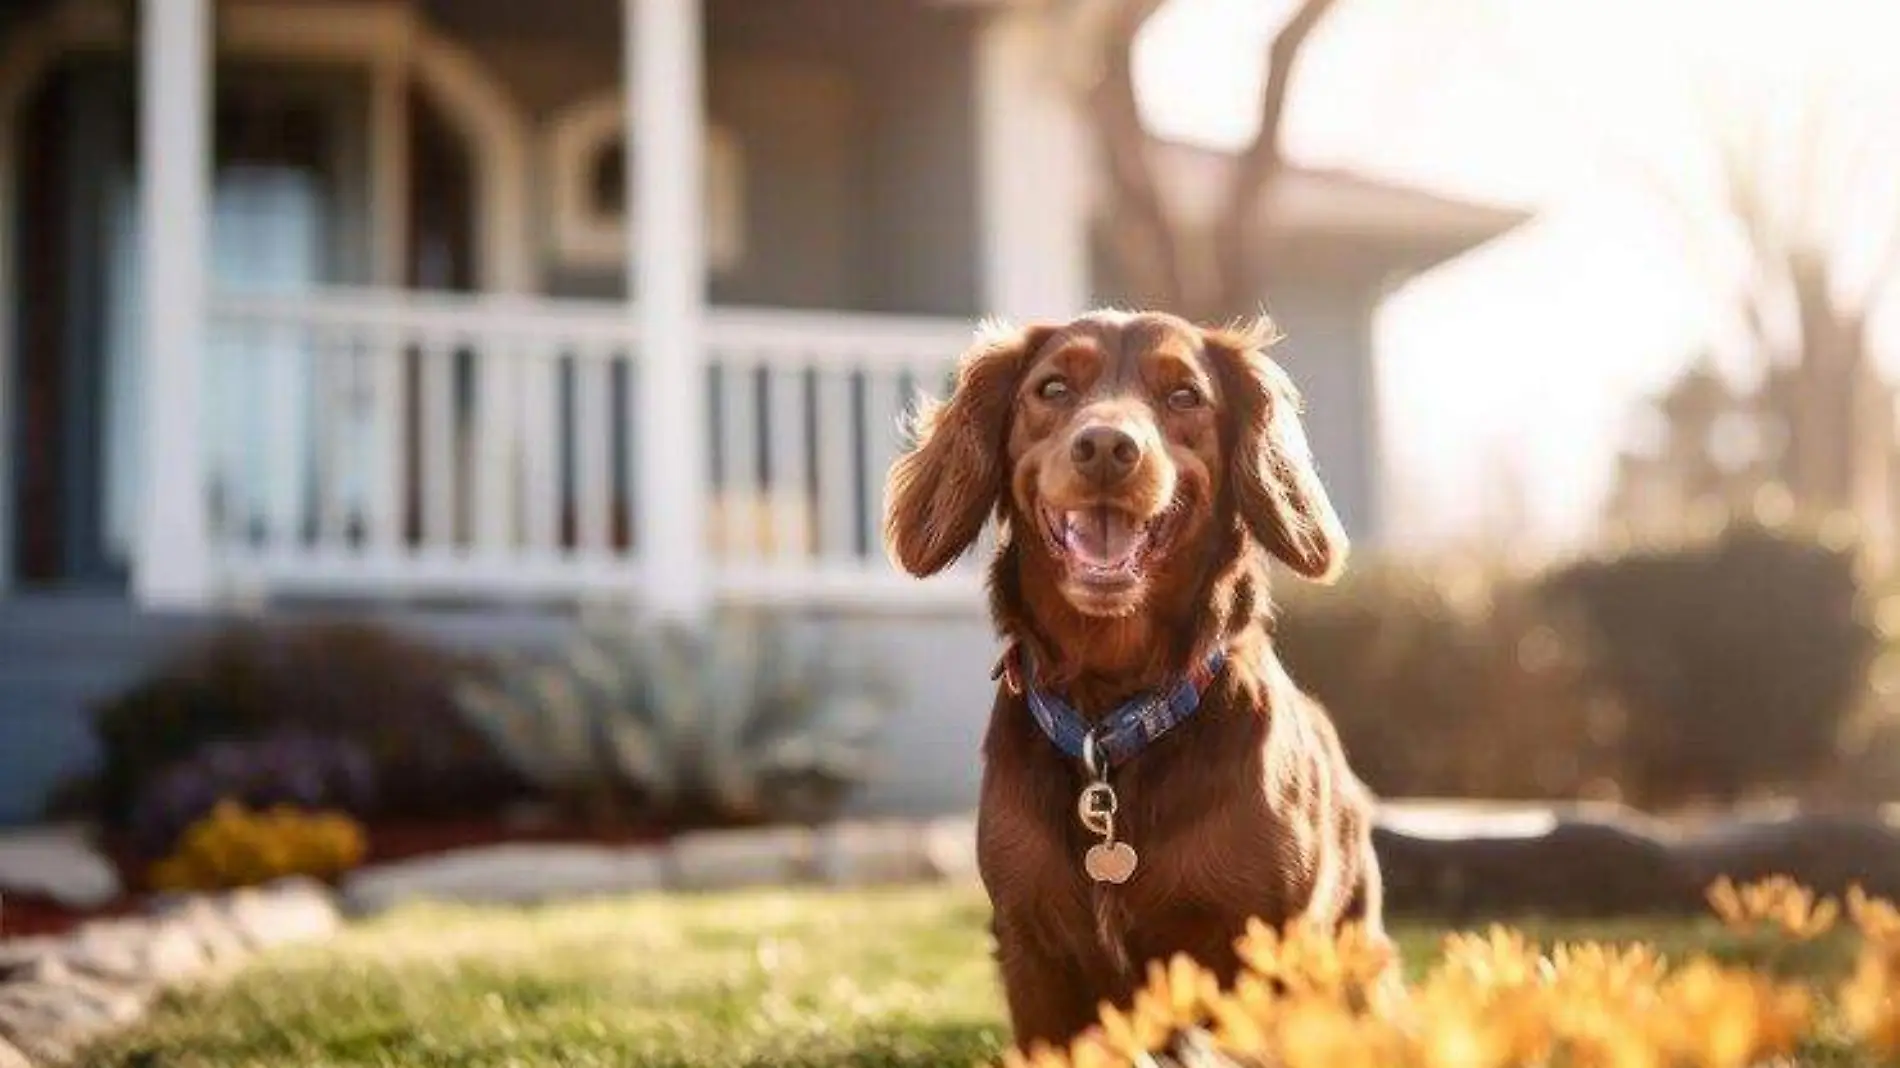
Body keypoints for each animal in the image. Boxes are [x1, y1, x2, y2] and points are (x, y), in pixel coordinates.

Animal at [881, 309, 1390, 1048]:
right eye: (1053, 388)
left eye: (1184, 396)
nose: (1105, 448)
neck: (1111, 712)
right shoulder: (1032, 950)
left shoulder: (1259, 947)